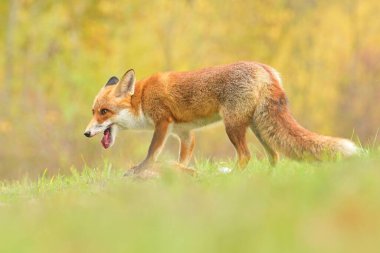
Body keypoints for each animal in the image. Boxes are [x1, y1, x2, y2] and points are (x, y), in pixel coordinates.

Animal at [84, 61, 358, 174]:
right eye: (93, 111)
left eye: (104, 111)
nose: (86, 133)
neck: (141, 98)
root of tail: (266, 69)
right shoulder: (185, 133)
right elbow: (183, 159)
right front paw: (180, 171)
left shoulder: (163, 122)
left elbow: (152, 152)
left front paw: (141, 169)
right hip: (259, 128)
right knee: (275, 155)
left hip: (233, 127)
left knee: (246, 157)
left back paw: (230, 176)